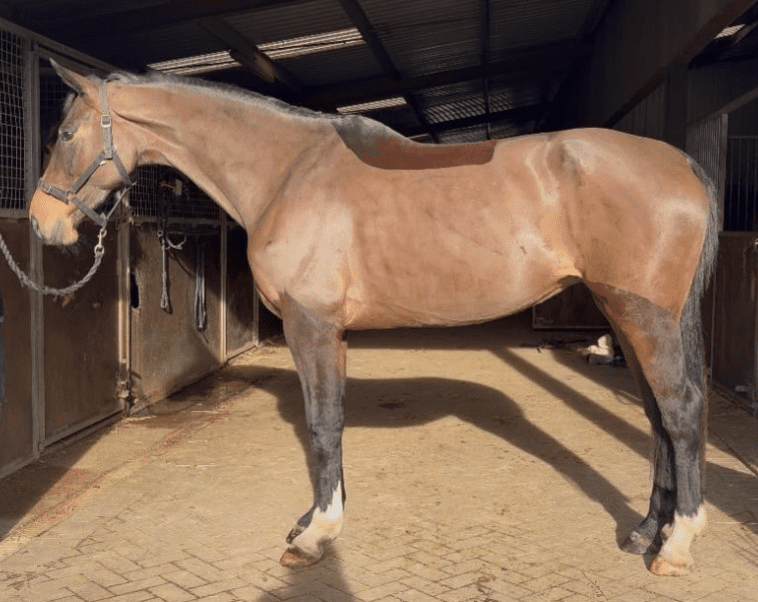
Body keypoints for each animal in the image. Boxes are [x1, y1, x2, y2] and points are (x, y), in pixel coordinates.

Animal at [29, 60, 718, 577]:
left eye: (65, 134)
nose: (41, 222)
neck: (286, 172)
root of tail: (681, 163)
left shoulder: (312, 326)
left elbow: (322, 423)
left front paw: (316, 536)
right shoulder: (323, 332)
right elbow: (326, 424)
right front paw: (315, 520)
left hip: (642, 313)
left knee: (680, 411)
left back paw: (678, 545)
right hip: (623, 314)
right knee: (657, 418)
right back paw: (645, 533)